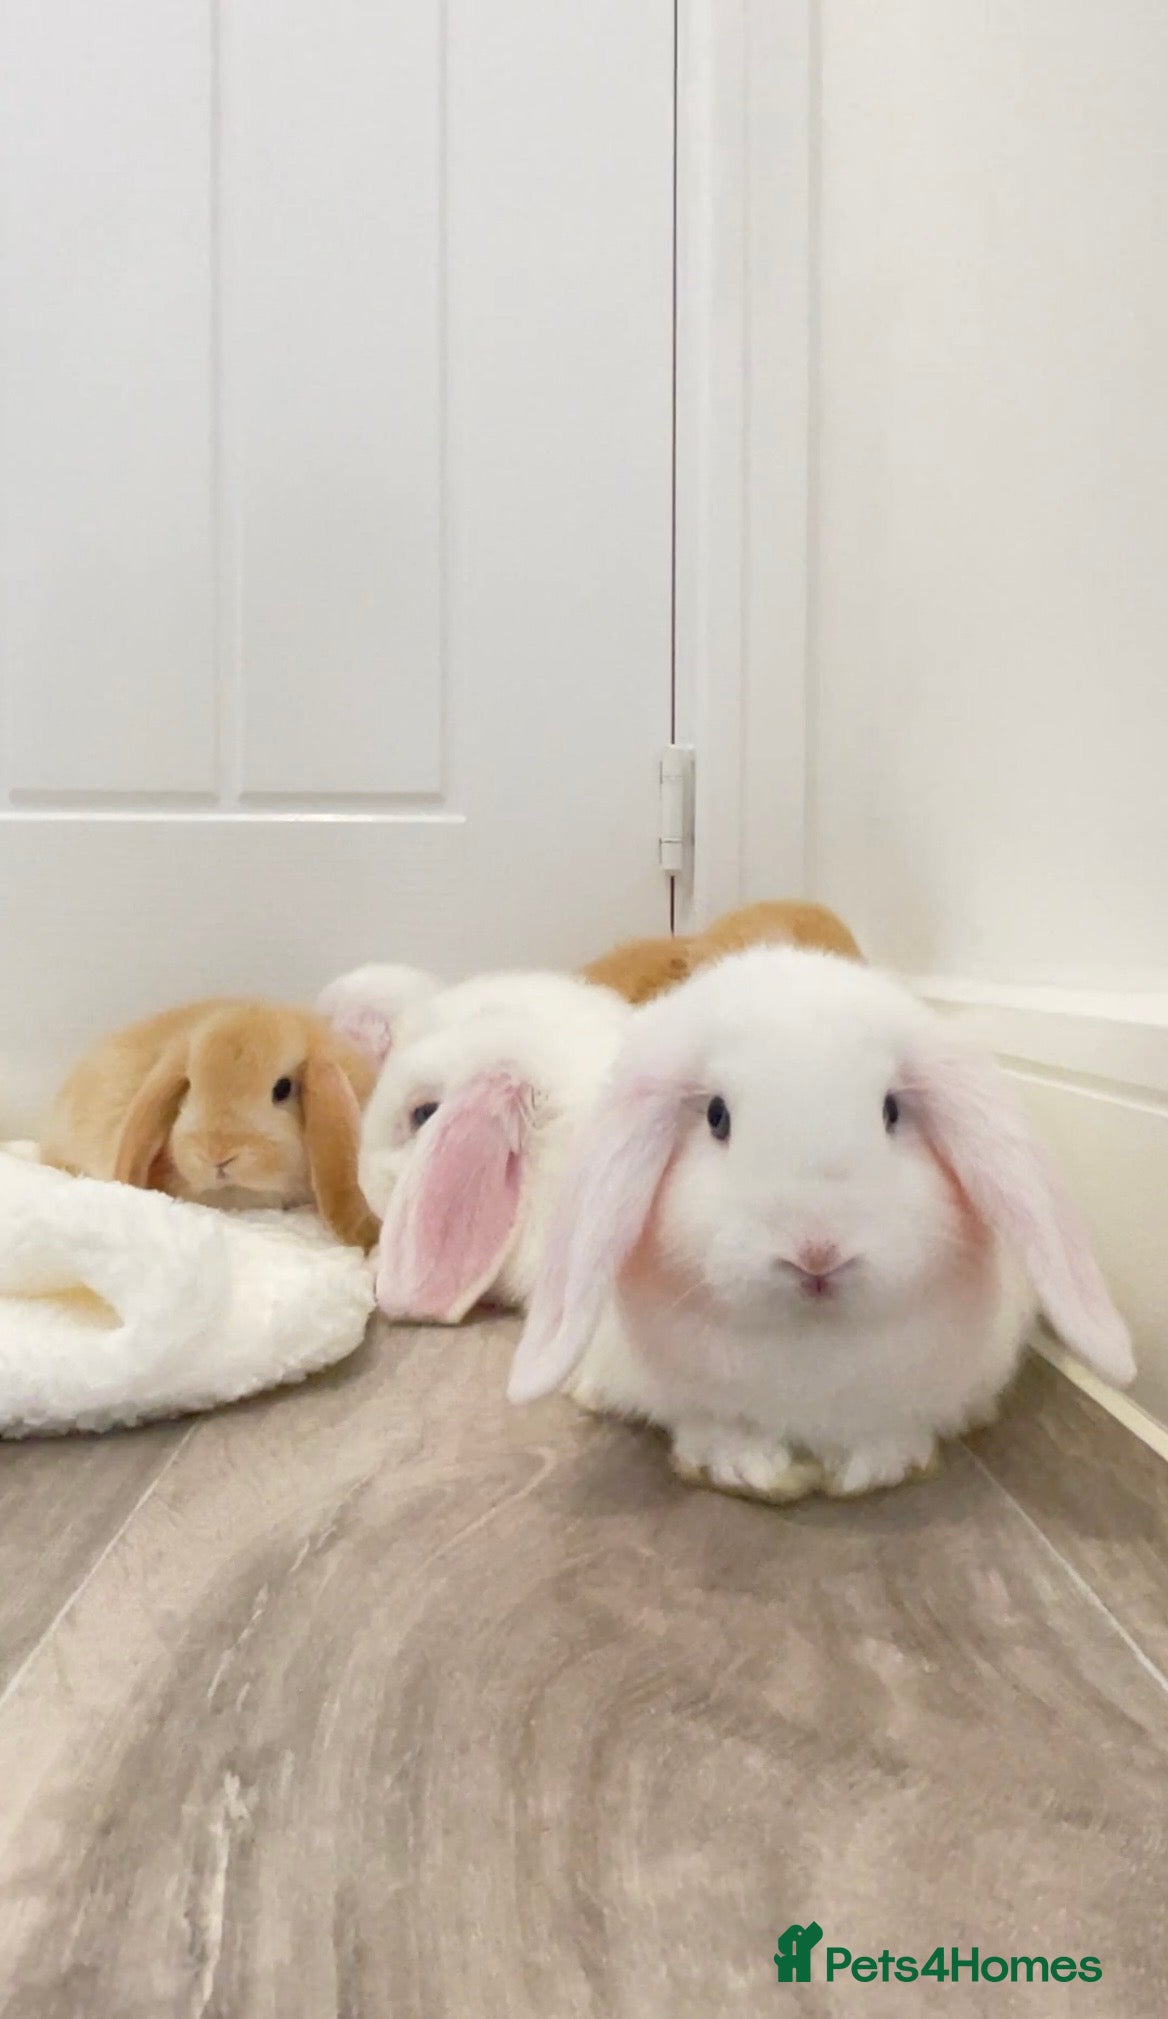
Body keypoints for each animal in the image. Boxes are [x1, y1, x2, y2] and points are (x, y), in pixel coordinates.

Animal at [507, 946, 1134, 1504]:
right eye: (716, 1116)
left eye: (891, 1111)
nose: (817, 1252)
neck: (810, 1344)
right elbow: (716, 1427)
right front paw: (745, 1467)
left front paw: (879, 1465)